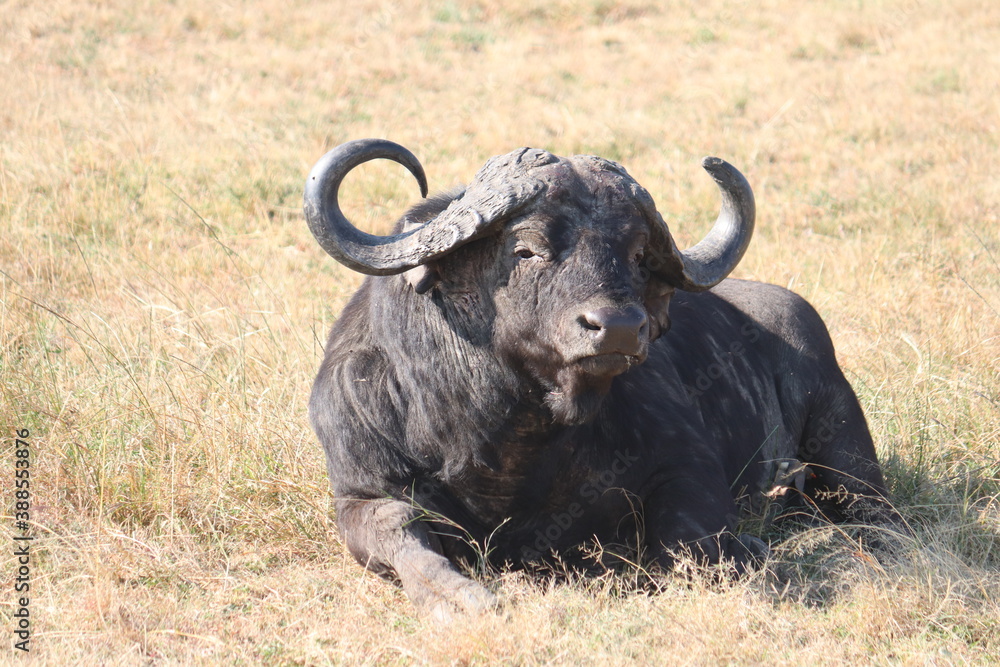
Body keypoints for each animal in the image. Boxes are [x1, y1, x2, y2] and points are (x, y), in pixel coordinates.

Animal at [304, 139, 895, 618]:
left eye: (635, 254)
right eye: (526, 249)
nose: (618, 327)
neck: (506, 444)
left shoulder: (686, 463)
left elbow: (687, 541)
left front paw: (746, 550)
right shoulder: (359, 492)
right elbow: (400, 532)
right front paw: (460, 600)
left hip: (845, 444)